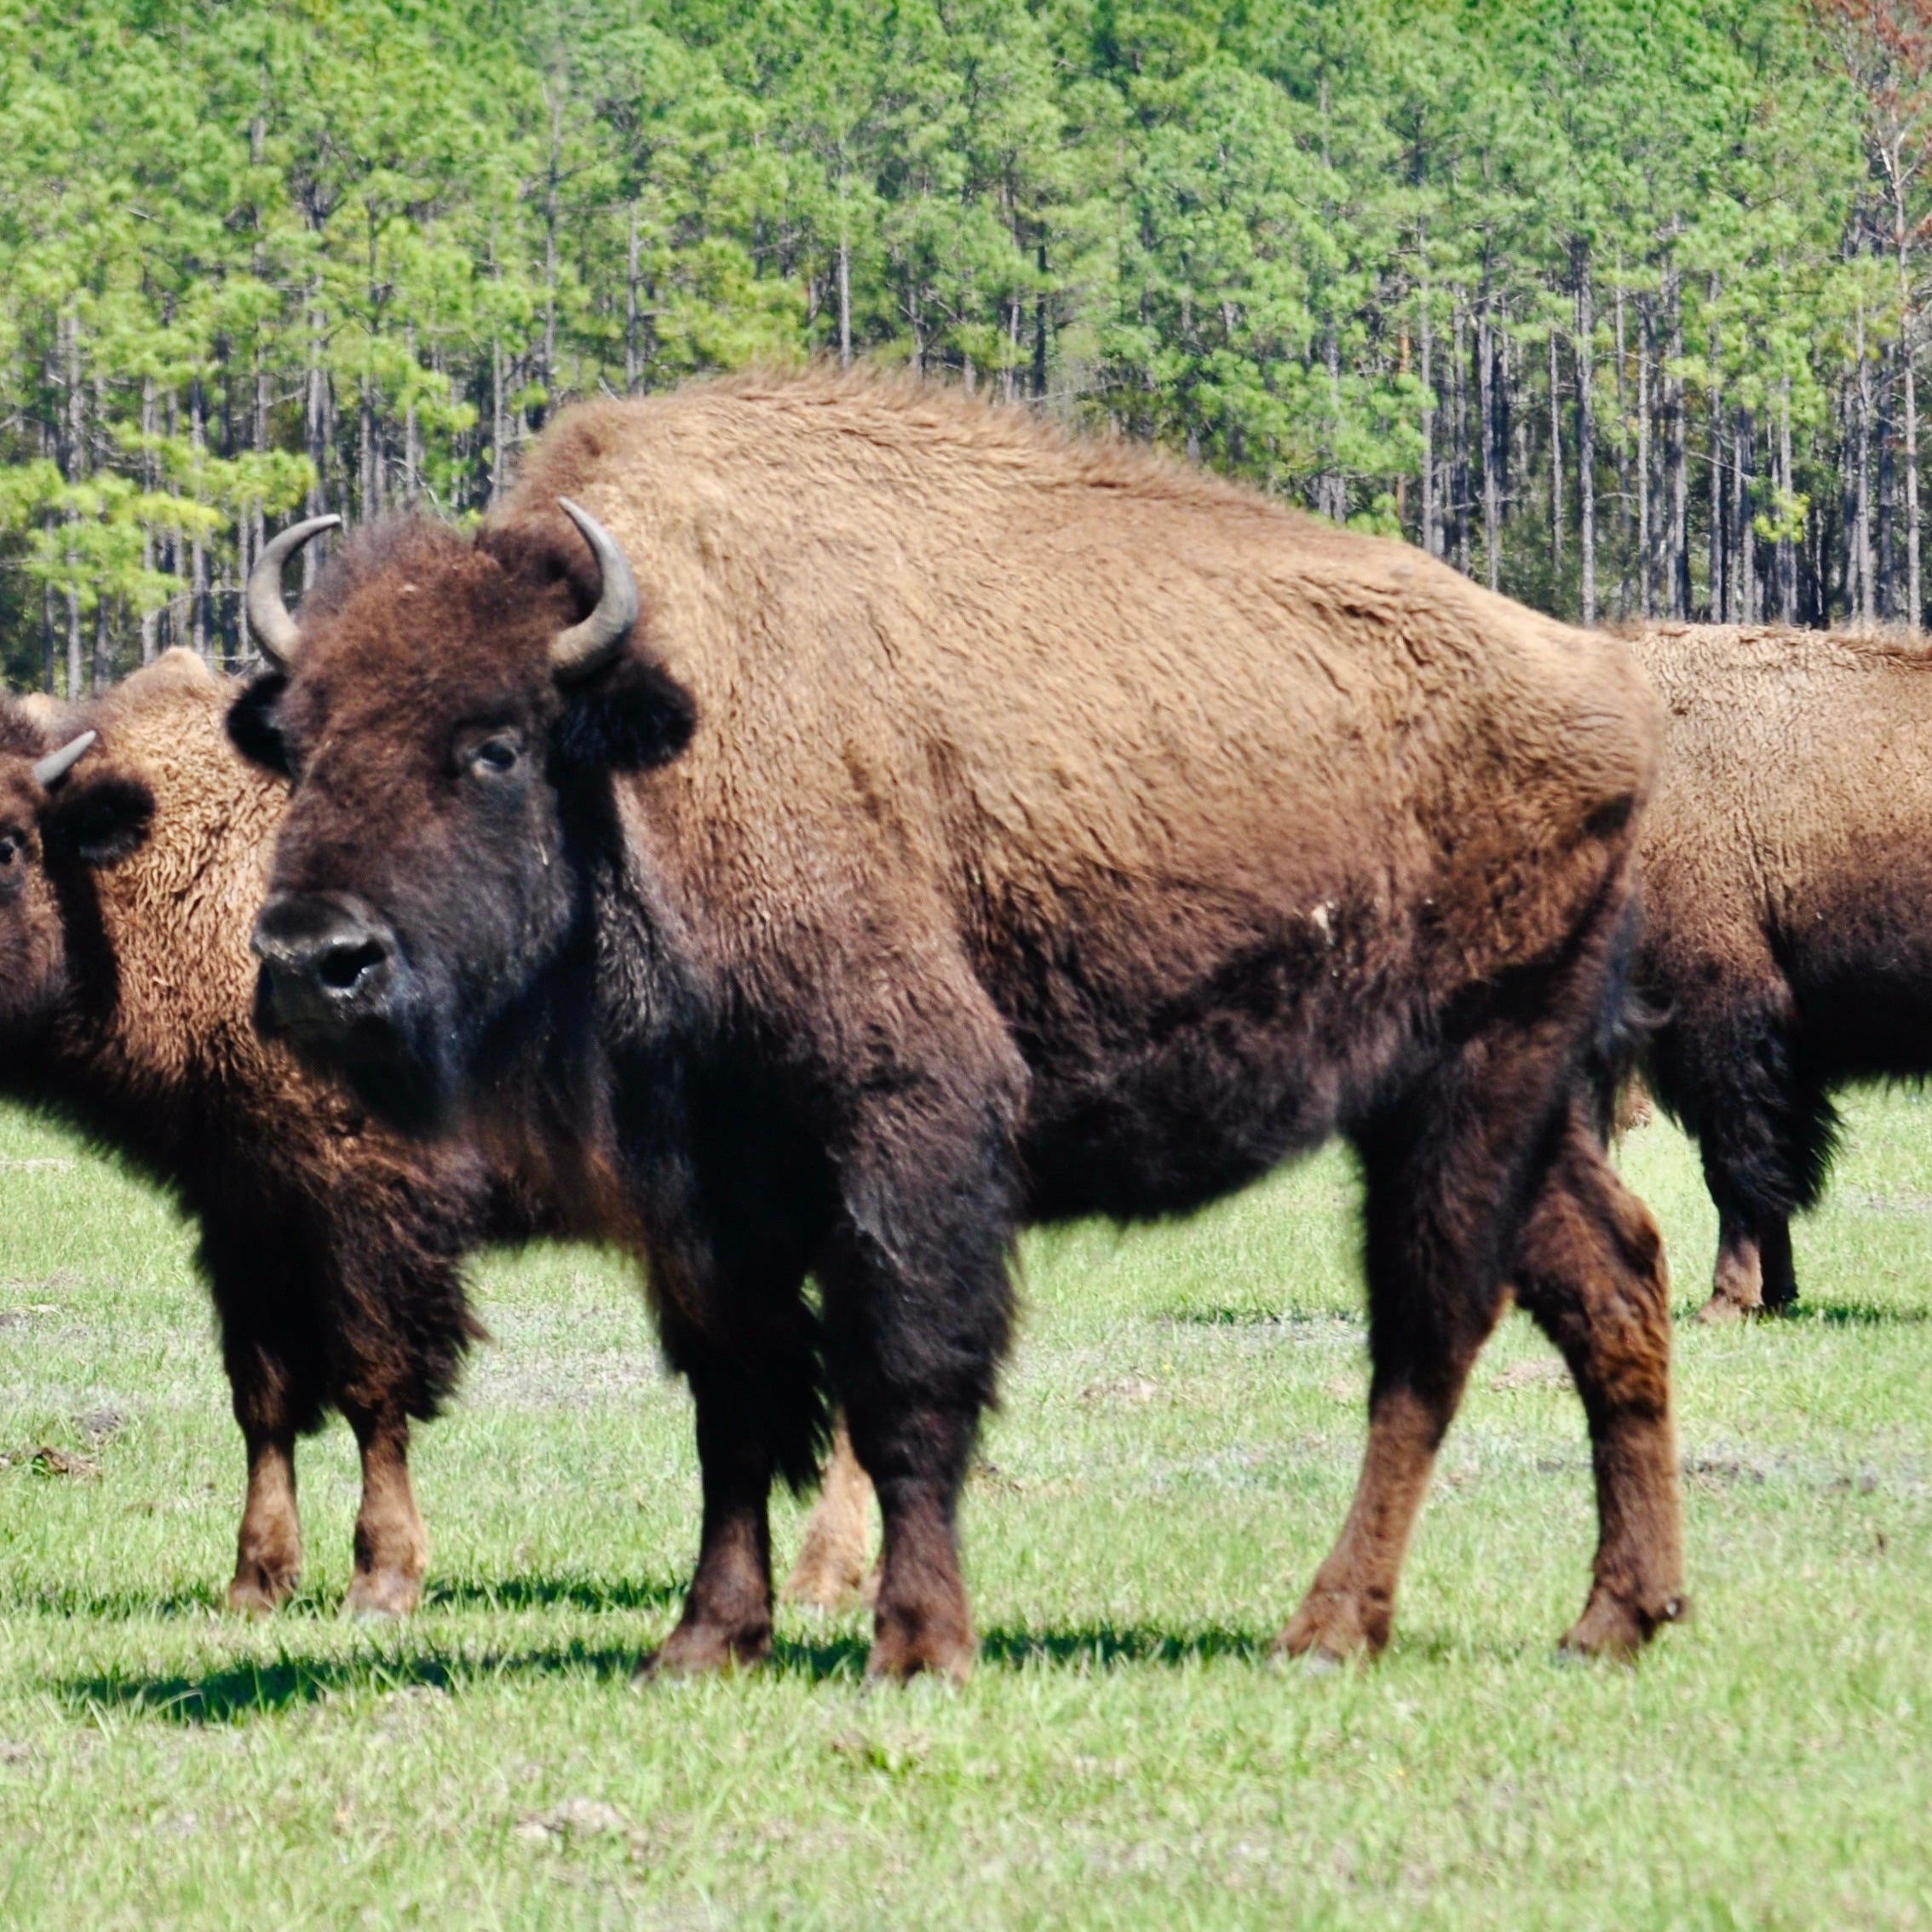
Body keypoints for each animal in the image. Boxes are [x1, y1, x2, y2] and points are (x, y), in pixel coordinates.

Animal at [238, 371, 1682, 1679]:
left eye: (493, 745)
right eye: (298, 746)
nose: (314, 959)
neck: (660, 750)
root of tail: (1609, 687)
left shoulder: (907, 1126)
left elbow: (906, 1384)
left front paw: (920, 1645)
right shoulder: (704, 1190)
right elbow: (736, 1402)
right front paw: (704, 1644)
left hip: (1471, 1077)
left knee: (1427, 1337)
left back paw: (1328, 1633)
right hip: (1500, 1102)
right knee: (1612, 1275)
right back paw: (1619, 1618)